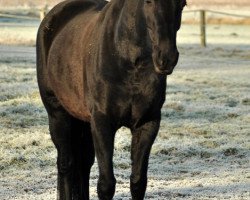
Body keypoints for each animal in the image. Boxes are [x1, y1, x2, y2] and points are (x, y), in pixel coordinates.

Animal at [36, 0, 186, 198]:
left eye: (182, 4)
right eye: (148, 2)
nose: (166, 58)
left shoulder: (148, 123)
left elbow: (138, 182)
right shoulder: (102, 123)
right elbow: (106, 184)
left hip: (82, 119)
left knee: (83, 165)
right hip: (58, 115)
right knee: (66, 165)